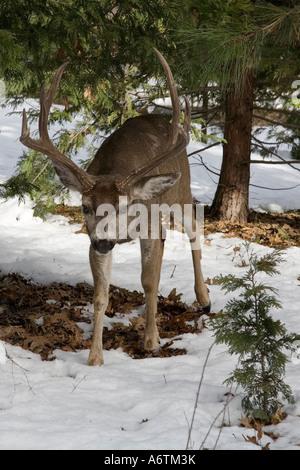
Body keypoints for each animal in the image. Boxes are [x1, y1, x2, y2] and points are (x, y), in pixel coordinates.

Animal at [19, 49, 211, 366]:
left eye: (124, 206)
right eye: (85, 206)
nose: (103, 241)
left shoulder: (147, 226)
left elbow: (148, 281)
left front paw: (150, 341)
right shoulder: (93, 241)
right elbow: (101, 296)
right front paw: (95, 357)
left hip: (180, 193)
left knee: (194, 229)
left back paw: (204, 299)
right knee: (166, 243)